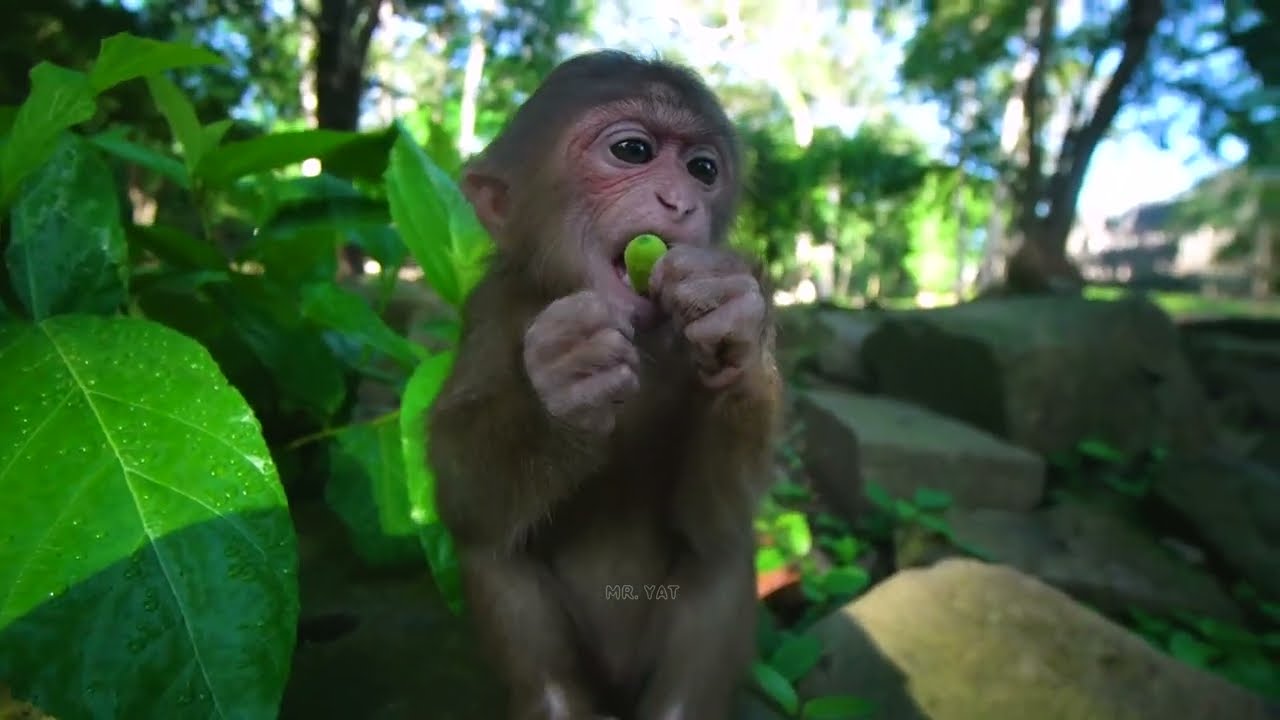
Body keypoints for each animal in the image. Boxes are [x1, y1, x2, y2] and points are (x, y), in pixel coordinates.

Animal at [425, 50, 782, 720]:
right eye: (633, 151)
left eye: (702, 169)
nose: (680, 202)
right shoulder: (492, 311)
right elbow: (464, 499)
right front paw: (560, 389)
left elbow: (714, 519)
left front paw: (739, 334)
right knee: (495, 548)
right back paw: (556, 703)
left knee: (720, 552)